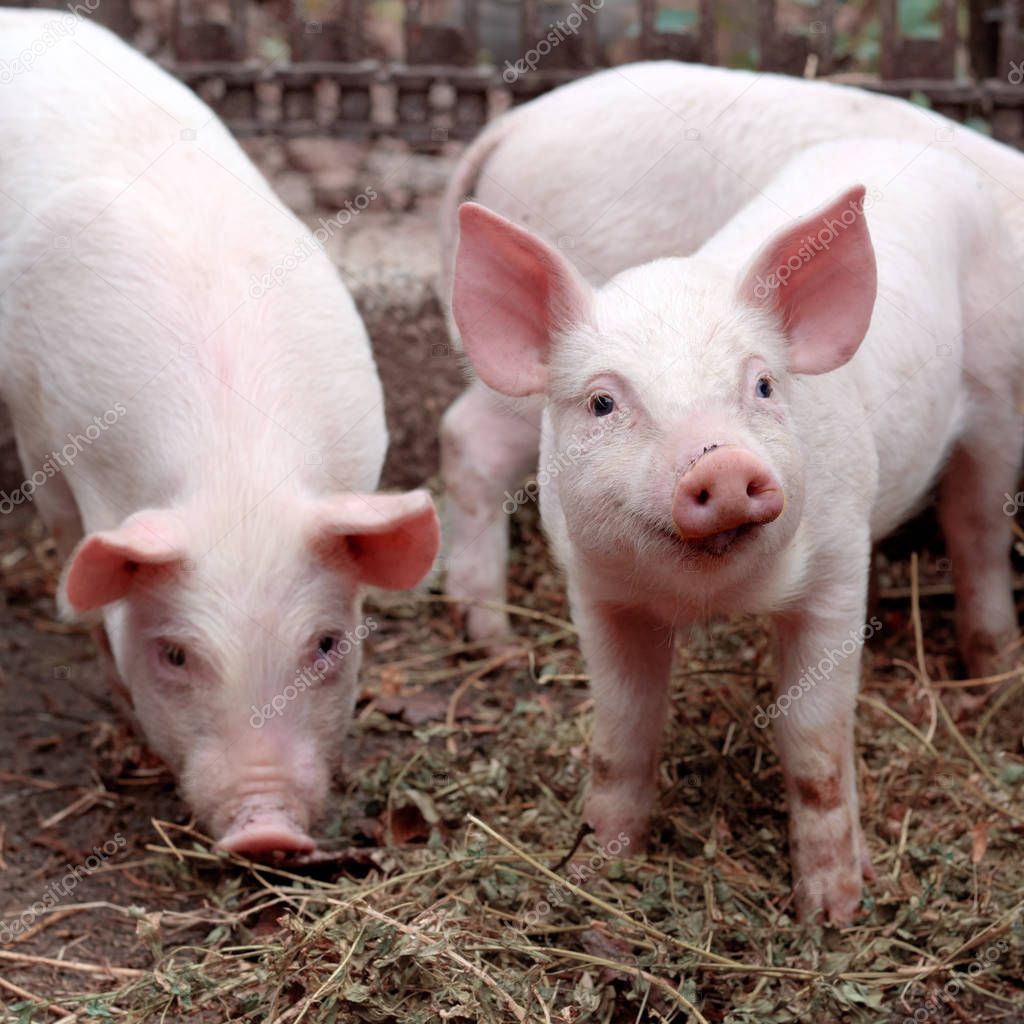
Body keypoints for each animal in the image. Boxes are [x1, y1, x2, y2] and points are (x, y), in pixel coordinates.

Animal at [452, 140, 1024, 925]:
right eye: (602, 402)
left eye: (762, 386)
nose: (720, 463)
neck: (716, 599)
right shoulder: (596, 591)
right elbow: (623, 729)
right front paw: (603, 865)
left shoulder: (839, 569)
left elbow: (813, 742)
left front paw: (833, 912)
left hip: (999, 393)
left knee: (978, 531)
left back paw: (995, 672)